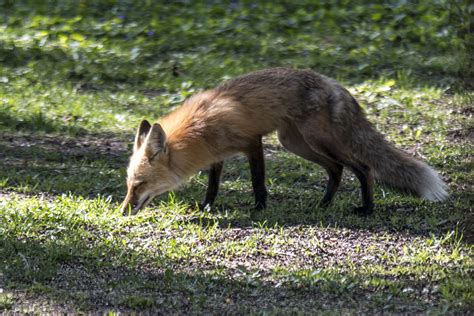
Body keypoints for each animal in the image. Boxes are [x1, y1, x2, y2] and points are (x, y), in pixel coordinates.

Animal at [121, 67, 448, 215]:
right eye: (128, 185)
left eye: (140, 184)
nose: (122, 211)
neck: (199, 127)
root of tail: (333, 83)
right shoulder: (217, 155)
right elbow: (213, 186)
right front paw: (207, 207)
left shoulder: (251, 142)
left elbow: (258, 181)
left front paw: (259, 208)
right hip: (295, 143)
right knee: (336, 170)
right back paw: (323, 204)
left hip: (317, 140)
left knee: (362, 168)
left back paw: (366, 209)